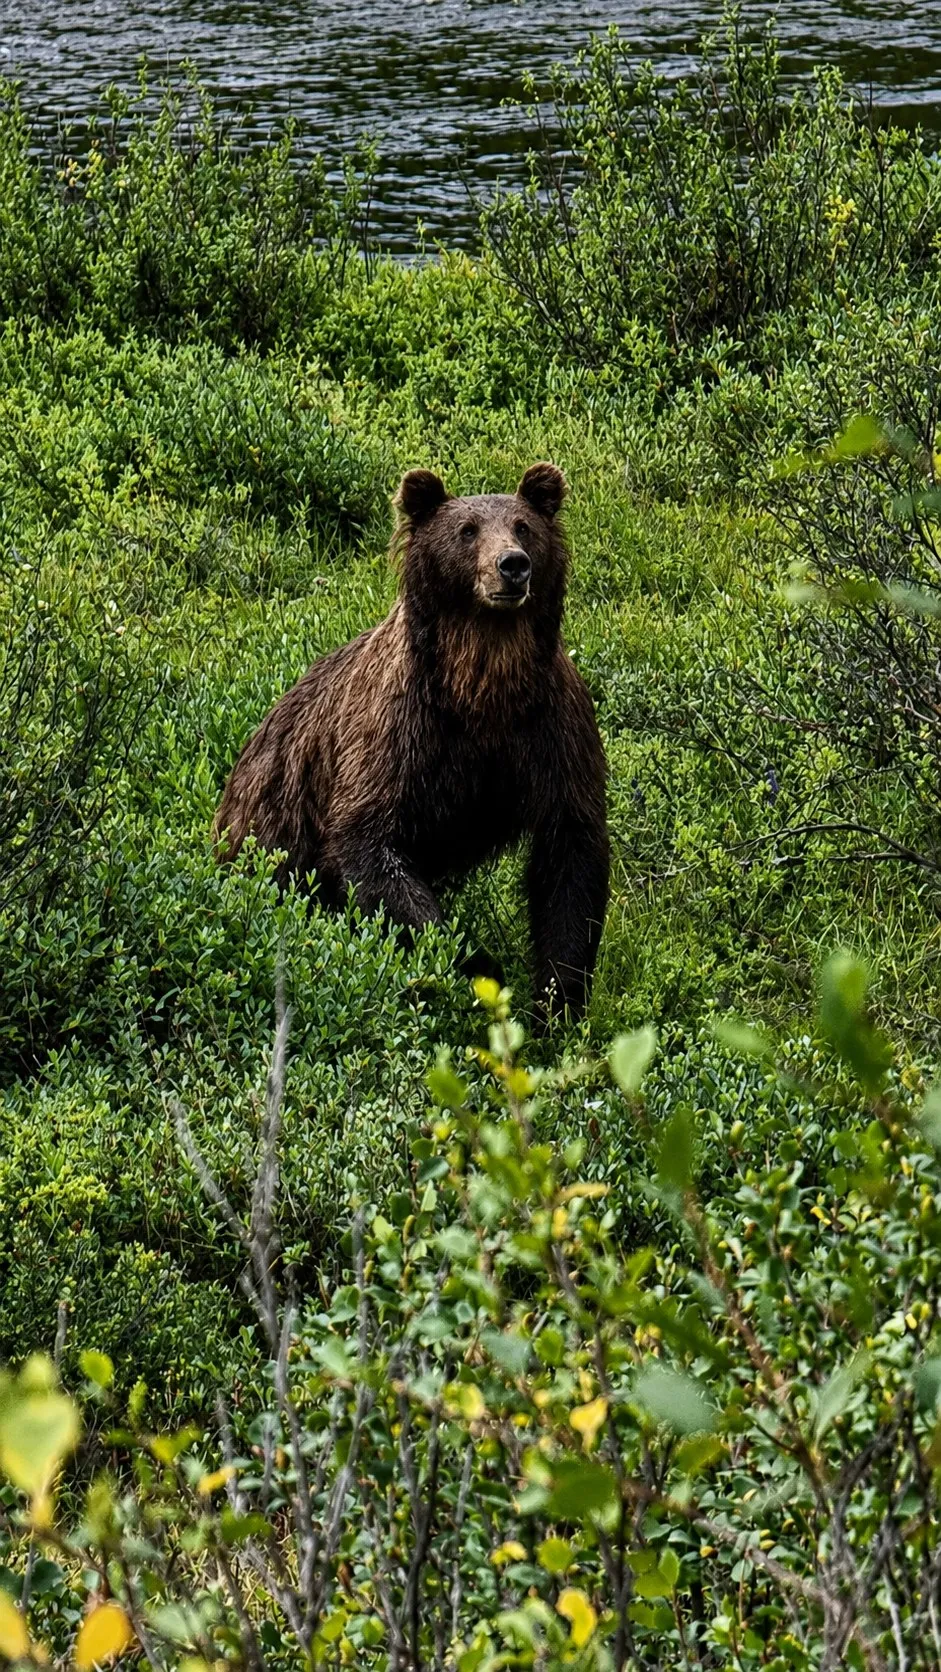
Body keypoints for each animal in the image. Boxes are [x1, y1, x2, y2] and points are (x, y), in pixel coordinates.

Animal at [214, 462, 610, 1018]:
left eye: (523, 525)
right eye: (467, 530)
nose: (512, 565)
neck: (484, 682)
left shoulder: (550, 728)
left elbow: (571, 855)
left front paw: (558, 998)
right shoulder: (402, 731)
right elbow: (369, 843)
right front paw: (478, 963)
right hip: (271, 825)